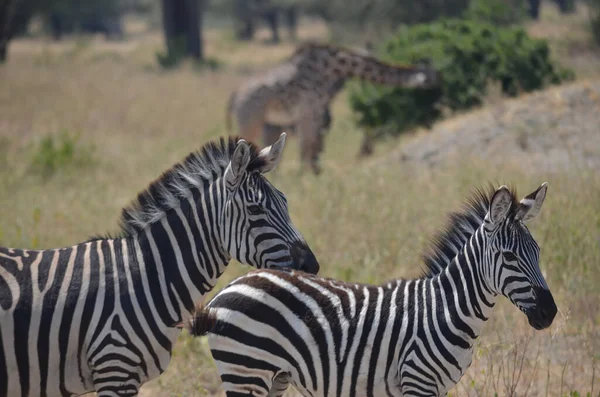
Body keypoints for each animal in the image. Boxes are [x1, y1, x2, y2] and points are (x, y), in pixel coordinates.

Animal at [179, 182, 556, 396]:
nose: (549, 313)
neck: (445, 309)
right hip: (245, 371)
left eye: (538, 252)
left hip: (273, 377)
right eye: (509, 256)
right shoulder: (417, 383)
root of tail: (228, 289)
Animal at [225, 42, 440, 174]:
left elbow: (311, 149)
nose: (438, 83)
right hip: (251, 122)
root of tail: (235, 95)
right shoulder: (309, 111)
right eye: (431, 75)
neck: (332, 67)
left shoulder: (314, 113)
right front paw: (304, 180)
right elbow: (308, 149)